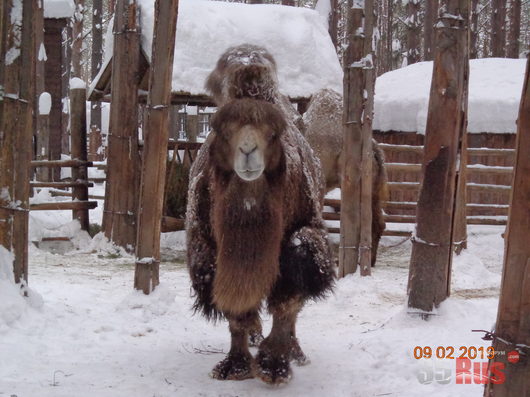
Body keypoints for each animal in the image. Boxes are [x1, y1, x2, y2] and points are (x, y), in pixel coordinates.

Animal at [186, 45, 332, 384]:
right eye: (220, 129)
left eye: (274, 131)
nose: (248, 151)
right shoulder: (210, 248)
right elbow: (235, 310)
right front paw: (235, 365)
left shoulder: (306, 234)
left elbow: (288, 298)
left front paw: (273, 365)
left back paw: (295, 352)